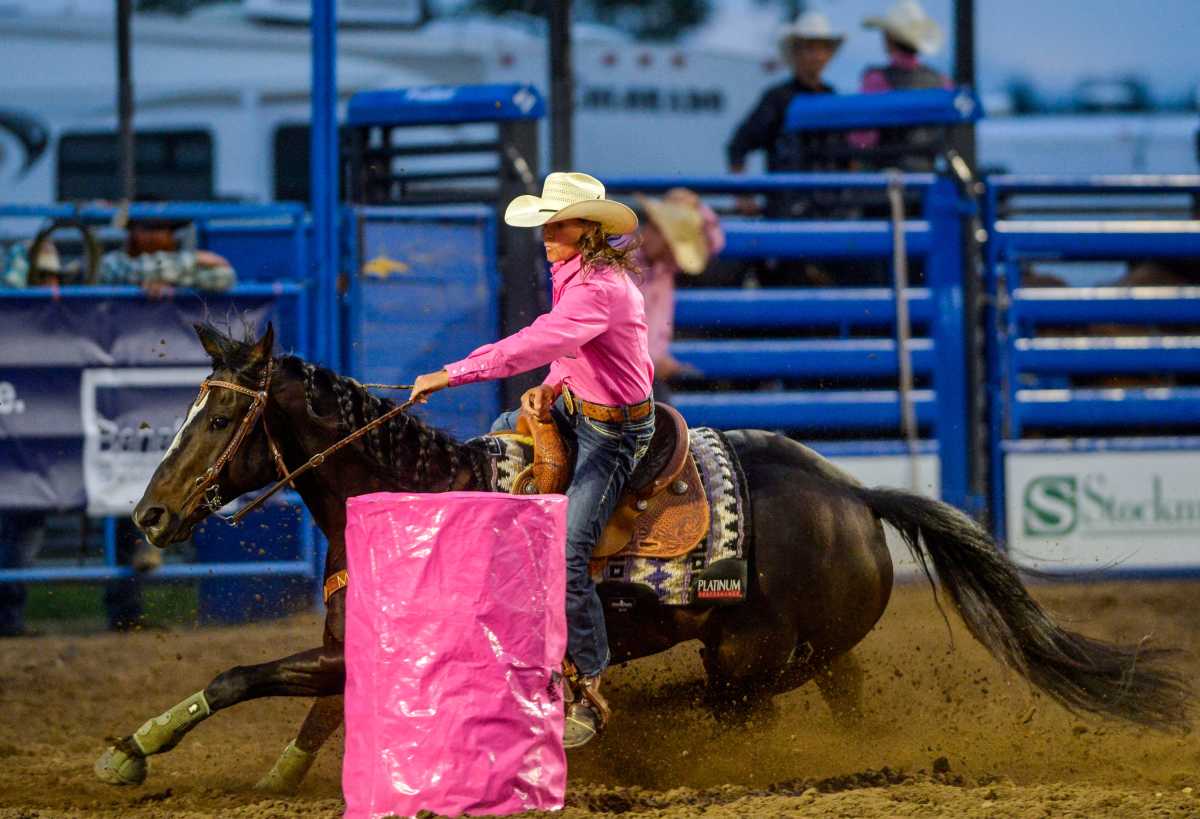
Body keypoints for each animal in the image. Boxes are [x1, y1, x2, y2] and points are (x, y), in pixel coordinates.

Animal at [96, 324, 1190, 792]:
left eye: (218, 419)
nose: (149, 514)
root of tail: (857, 496)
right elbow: (308, 707)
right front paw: (278, 774)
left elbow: (242, 674)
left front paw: (129, 750)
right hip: (807, 654)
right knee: (842, 703)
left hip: (746, 661)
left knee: (720, 708)